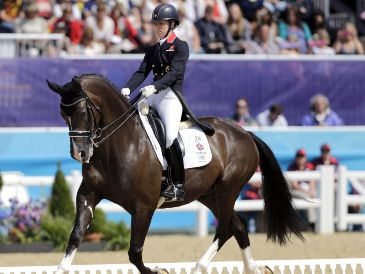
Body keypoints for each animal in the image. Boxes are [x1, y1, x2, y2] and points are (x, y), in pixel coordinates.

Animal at [46, 74, 302, 274]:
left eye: (82, 111)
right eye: (63, 115)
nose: (79, 153)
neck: (118, 145)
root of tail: (244, 132)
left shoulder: (144, 206)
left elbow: (134, 253)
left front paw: (159, 270)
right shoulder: (88, 196)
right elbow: (75, 236)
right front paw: (61, 268)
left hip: (228, 189)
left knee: (225, 228)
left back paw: (199, 267)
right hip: (208, 194)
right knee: (238, 226)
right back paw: (253, 269)